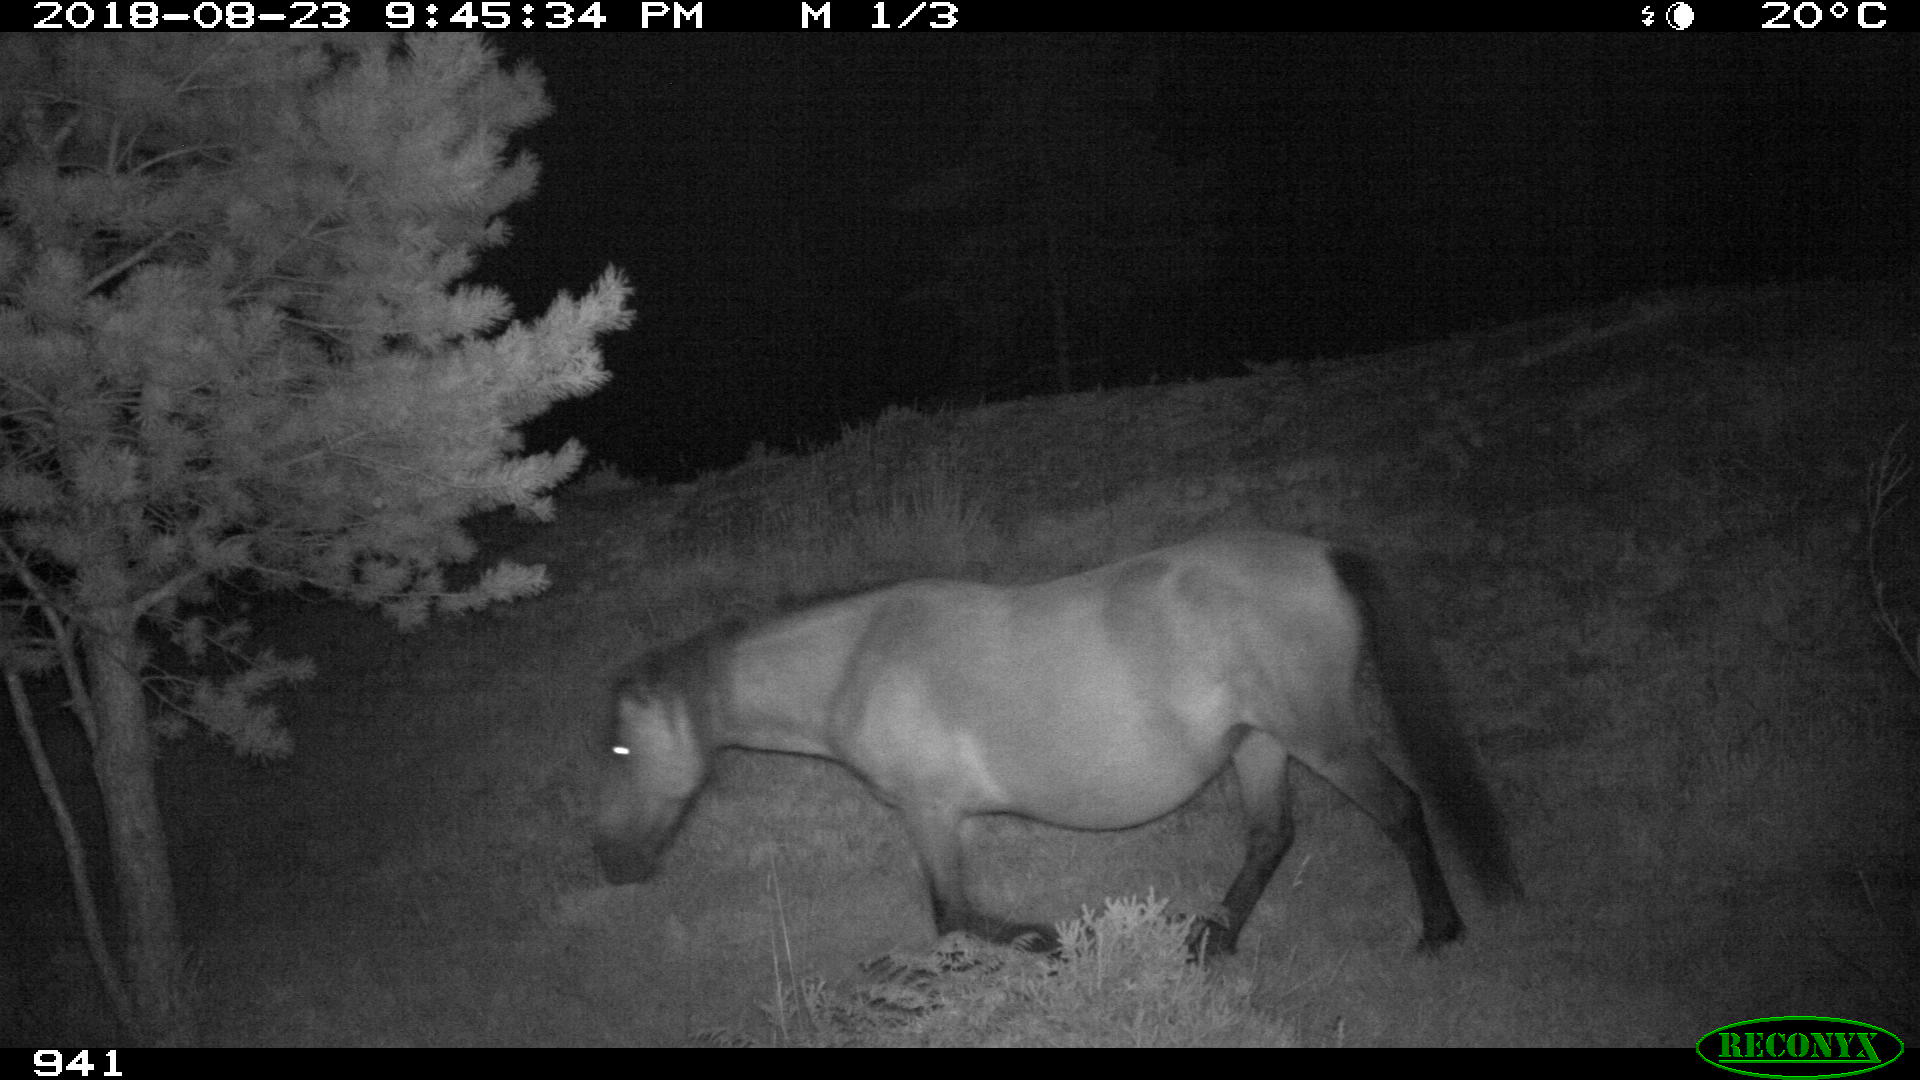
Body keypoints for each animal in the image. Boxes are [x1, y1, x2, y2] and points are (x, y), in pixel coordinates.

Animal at [592, 530, 1519, 956]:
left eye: (622, 754)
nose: (612, 863)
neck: (860, 658)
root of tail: (1323, 555)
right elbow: (957, 917)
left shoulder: (931, 814)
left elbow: (955, 918)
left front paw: (1049, 940)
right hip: (1260, 745)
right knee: (1270, 837)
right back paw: (1208, 941)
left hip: (1317, 736)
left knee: (1400, 809)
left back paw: (1439, 931)